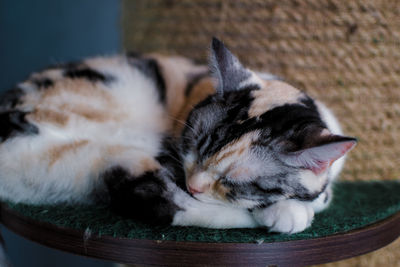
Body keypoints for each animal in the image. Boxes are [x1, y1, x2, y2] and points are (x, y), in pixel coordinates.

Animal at [0, 38, 356, 234]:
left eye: (234, 181)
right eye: (195, 145)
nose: (195, 185)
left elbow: (321, 195)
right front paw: (287, 211)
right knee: (172, 206)